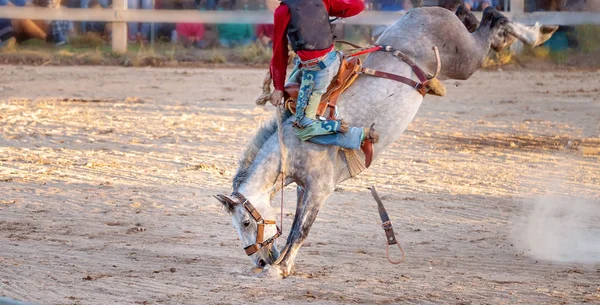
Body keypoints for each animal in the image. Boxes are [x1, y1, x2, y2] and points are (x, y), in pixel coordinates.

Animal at [216, 6, 556, 278]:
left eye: (244, 223)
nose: (259, 261)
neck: (291, 143)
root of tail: (427, 10)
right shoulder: (304, 188)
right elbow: (295, 228)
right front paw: (282, 265)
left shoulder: (320, 187)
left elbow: (301, 230)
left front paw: (280, 268)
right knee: (476, 15)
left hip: (466, 59)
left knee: (493, 21)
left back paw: (538, 33)